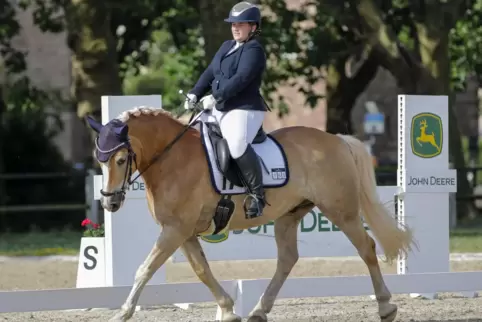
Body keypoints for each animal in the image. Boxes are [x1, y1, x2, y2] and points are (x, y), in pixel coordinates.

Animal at [85, 99, 414, 320]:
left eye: (121, 160)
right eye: (99, 160)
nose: (110, 202)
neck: (172, 159)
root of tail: (335, 139)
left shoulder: (175, 230)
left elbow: (145, 268)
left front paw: (123, 313)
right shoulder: (184, 232)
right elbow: (202, 270)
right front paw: (229, 310)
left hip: (340, 211)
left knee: (367, 247)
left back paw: (386, 306)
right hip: (289, 215)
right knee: (287, 259)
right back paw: (259, 310)